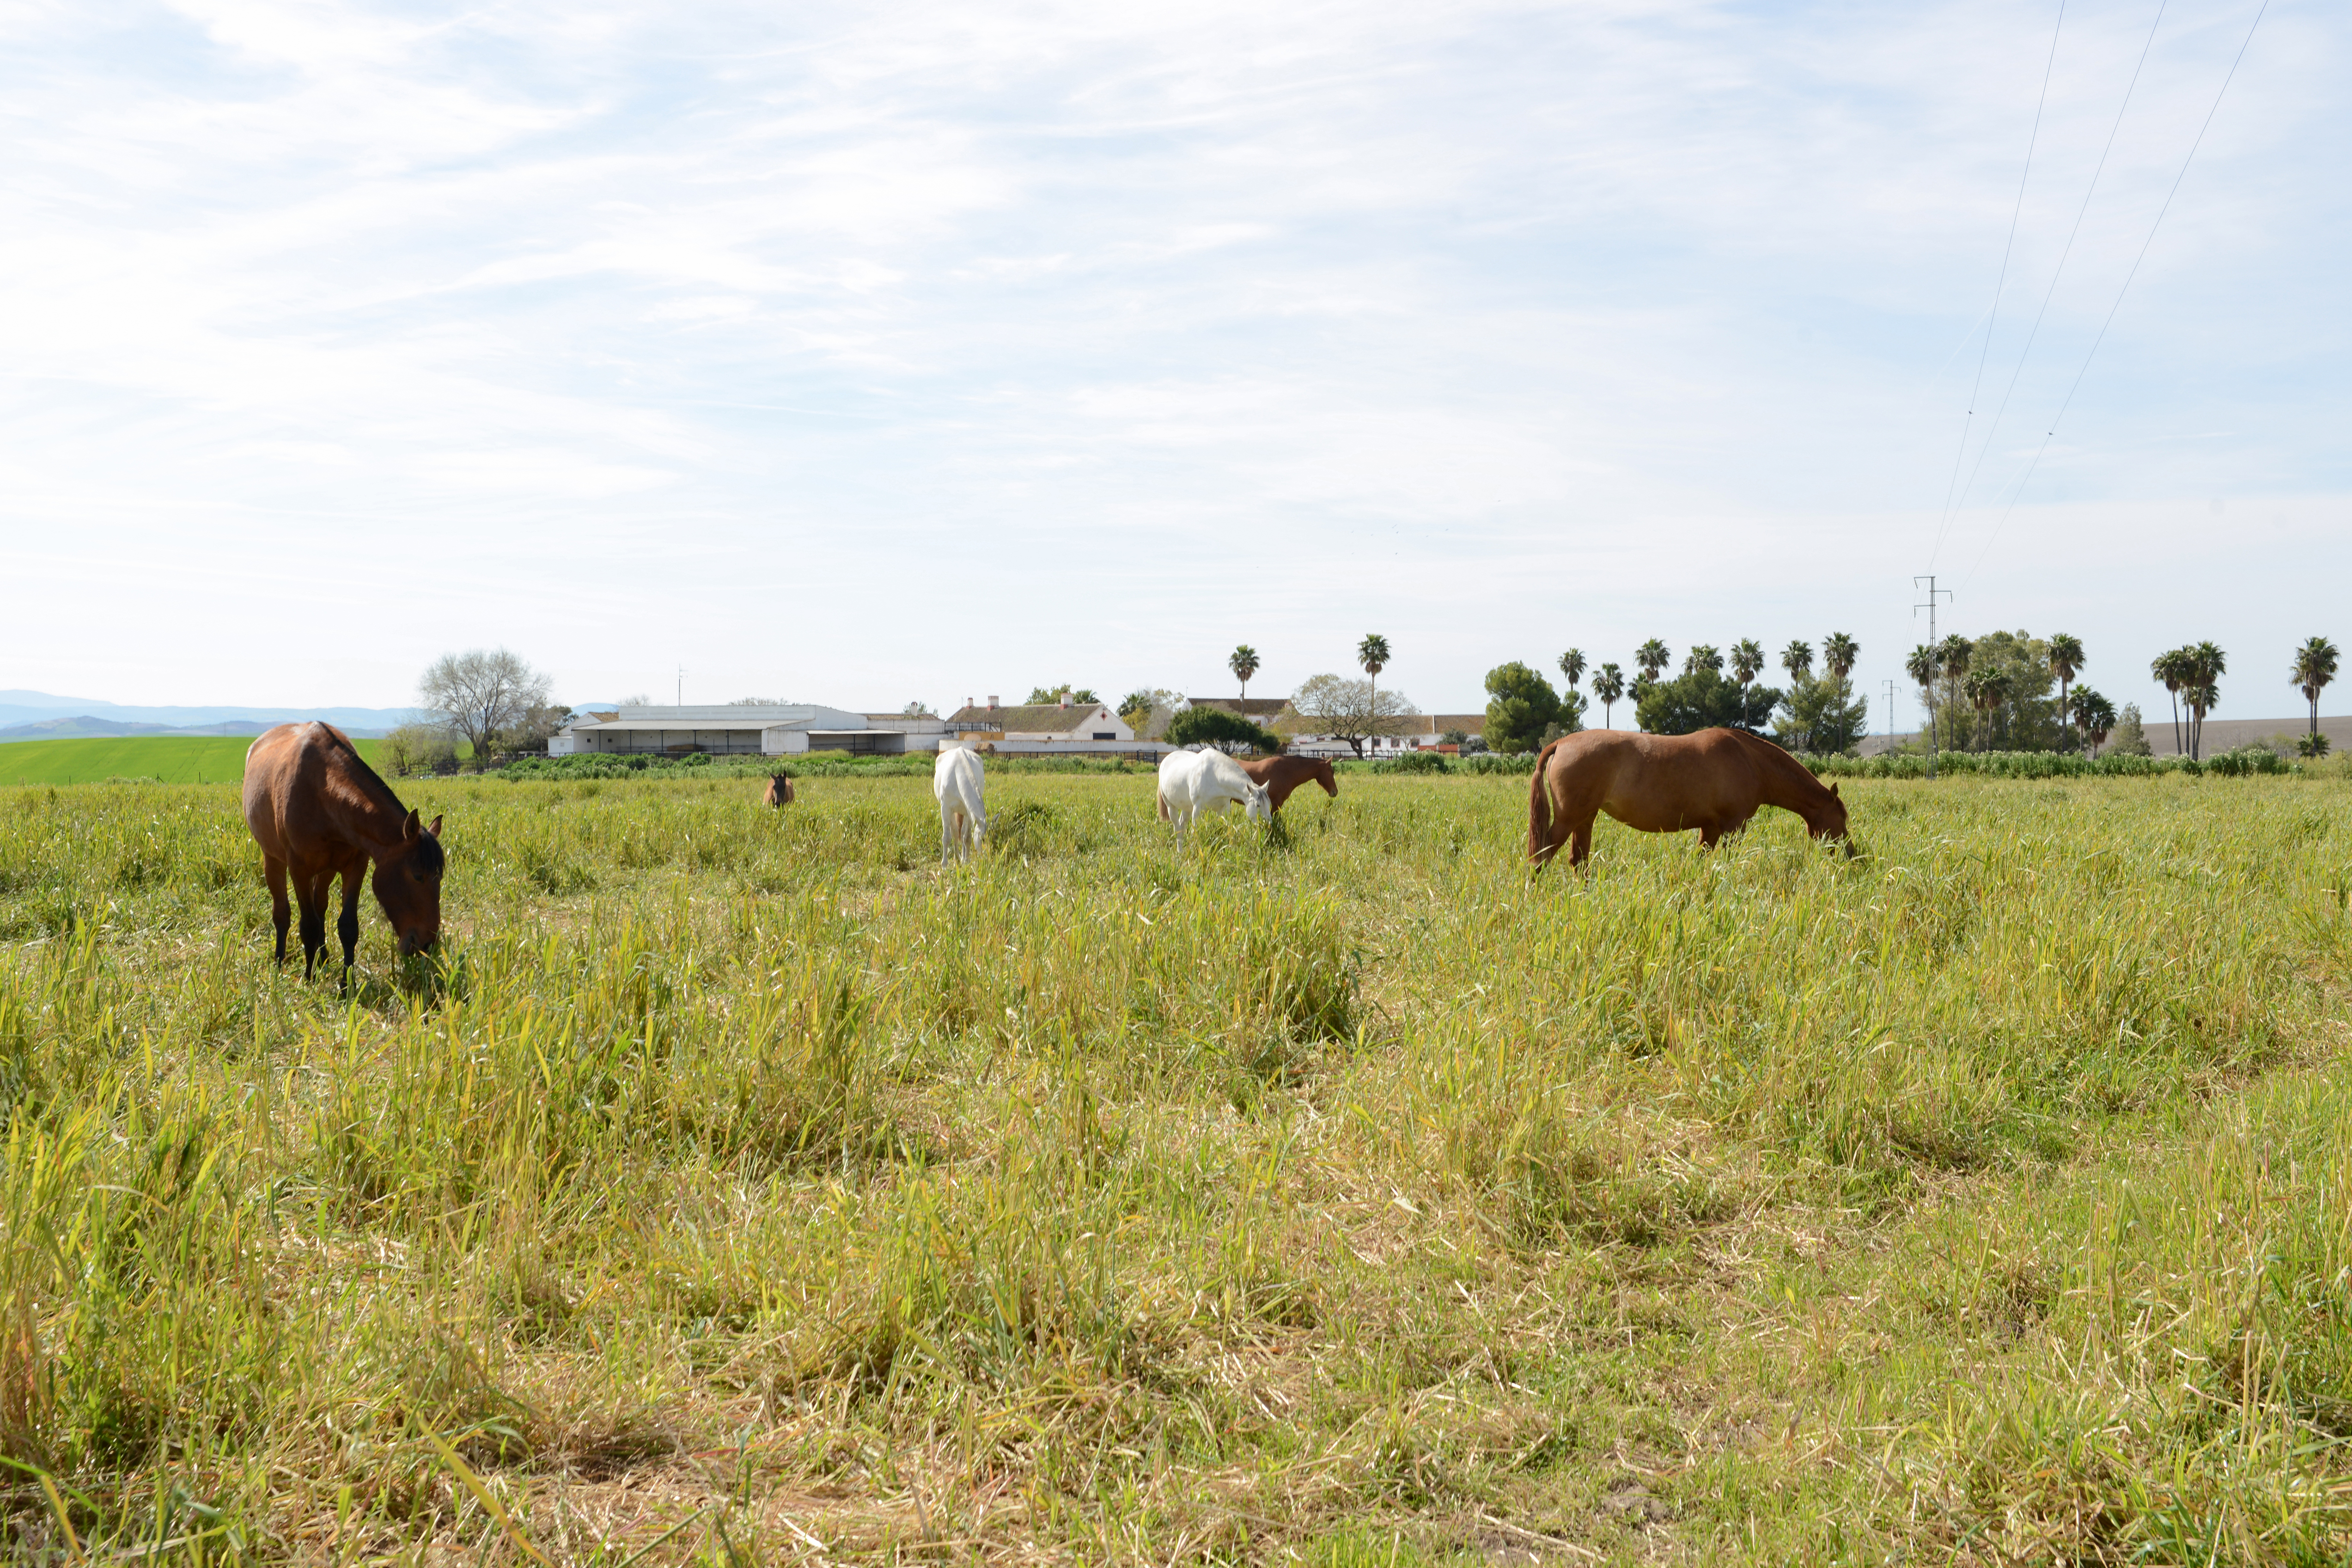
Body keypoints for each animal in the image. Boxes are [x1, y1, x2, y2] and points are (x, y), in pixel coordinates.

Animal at [245, 729, 447, 982]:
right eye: (418, 876)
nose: (428, 944)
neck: (322, 791)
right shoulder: (299, 870)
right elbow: (308, 926)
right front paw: (309, 979)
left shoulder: (356, 866)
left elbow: (348, 927)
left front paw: (346, 983)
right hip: (274, 861)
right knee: (282, 912)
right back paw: (281, 961)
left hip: (327, 870)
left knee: (320, 906)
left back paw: (323, 959)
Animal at [926, 748, 983, 865]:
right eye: (982, 839)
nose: (984, 857)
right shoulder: (945, 808)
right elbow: (947, 837)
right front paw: (944, 864)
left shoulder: (969, 812)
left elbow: (967, 838)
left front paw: (966, 861)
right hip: (951, 812)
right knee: (955, 833)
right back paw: (957, 858)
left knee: (961, 832)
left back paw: (962, 858)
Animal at [1152, 748, 1270, 846]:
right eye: (1258, 805)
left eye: (1269, 805)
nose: (1268, 826)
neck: (1216, 776)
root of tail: (1165, 761)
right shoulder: (1197, 809)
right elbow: (1195, 832)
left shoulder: (1224, 809)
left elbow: (1227, 829)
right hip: (1171, 807)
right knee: (1177, 829)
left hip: (1187, 808)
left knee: (1182, 826)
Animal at [1524, 729, 1853, 869]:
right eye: (1842, 818)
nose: (1853, 854)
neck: (1750, 760)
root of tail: (1561, 743)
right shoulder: (1733, 827)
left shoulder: (1711, 829)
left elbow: (1699, 861)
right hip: (1569, 819)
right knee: (1542, 856)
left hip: (1585, 819)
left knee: (1578, 860)